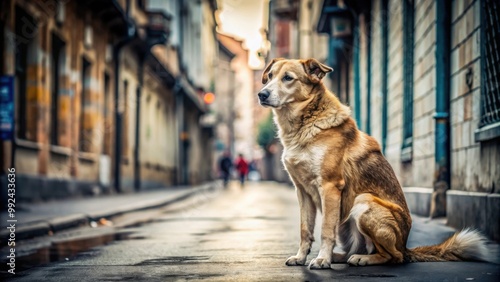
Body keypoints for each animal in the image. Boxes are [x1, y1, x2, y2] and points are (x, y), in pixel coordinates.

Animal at [260, 57, 494, 268]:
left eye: (288, 78)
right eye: (269, 76)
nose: (261, 94)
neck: (304, 124)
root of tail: (406, 246)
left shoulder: (329, 187)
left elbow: (326, 230)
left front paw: (322, 260)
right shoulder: (303, 191)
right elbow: (305, 230)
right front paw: (301, 257)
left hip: (363, 202)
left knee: (393, 257)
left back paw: (361, 259)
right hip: (346, 220)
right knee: (356, 250)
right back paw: (340, 256)